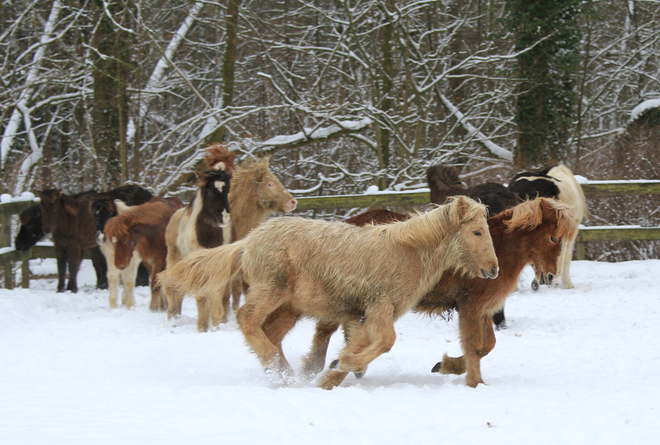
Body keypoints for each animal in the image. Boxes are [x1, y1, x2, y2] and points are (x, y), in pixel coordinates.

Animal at [160, 197, 498, 388]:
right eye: (476, 232)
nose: (494, 270)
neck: (405, 252)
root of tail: (250, 240)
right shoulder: (379, 306)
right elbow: (385, 342)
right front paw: (345, 366)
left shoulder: (363, 315)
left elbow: (358, 344)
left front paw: (331, 375)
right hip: (271, 289)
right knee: (247, 318)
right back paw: (277, 367)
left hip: (289, 307)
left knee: (269, 331)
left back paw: (282, 372)